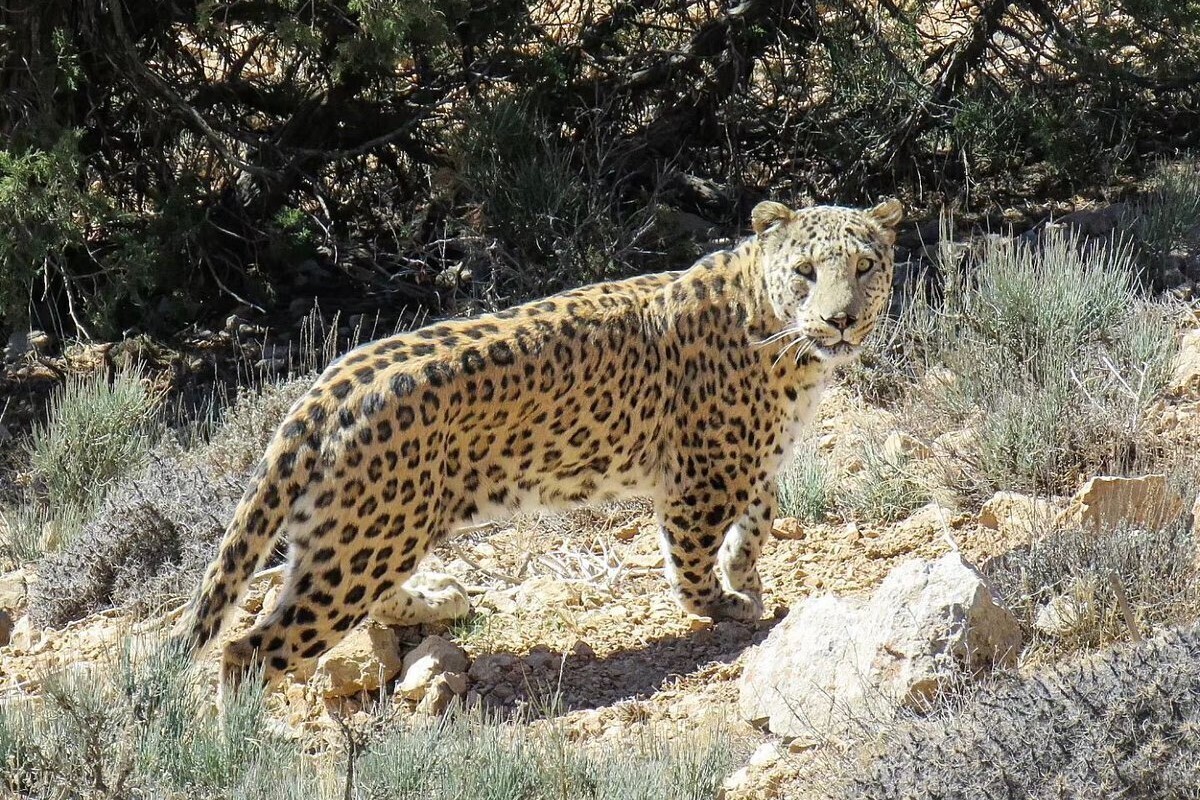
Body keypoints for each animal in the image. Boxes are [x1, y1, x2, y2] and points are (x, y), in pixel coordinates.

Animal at [174, 196, 902, 690]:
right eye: (806, 270)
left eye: (865, 265)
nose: (841, 319)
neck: (787, 344)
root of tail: (319, 396)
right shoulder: (699, 480)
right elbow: (691, 564)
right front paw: (727, 606)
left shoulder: (753, 465)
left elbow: (756, 527)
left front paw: (747, 584)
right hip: (364, 541)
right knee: (249, 649)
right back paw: (241, 742)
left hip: (363, 535)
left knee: (330, 600)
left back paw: (438, 601)